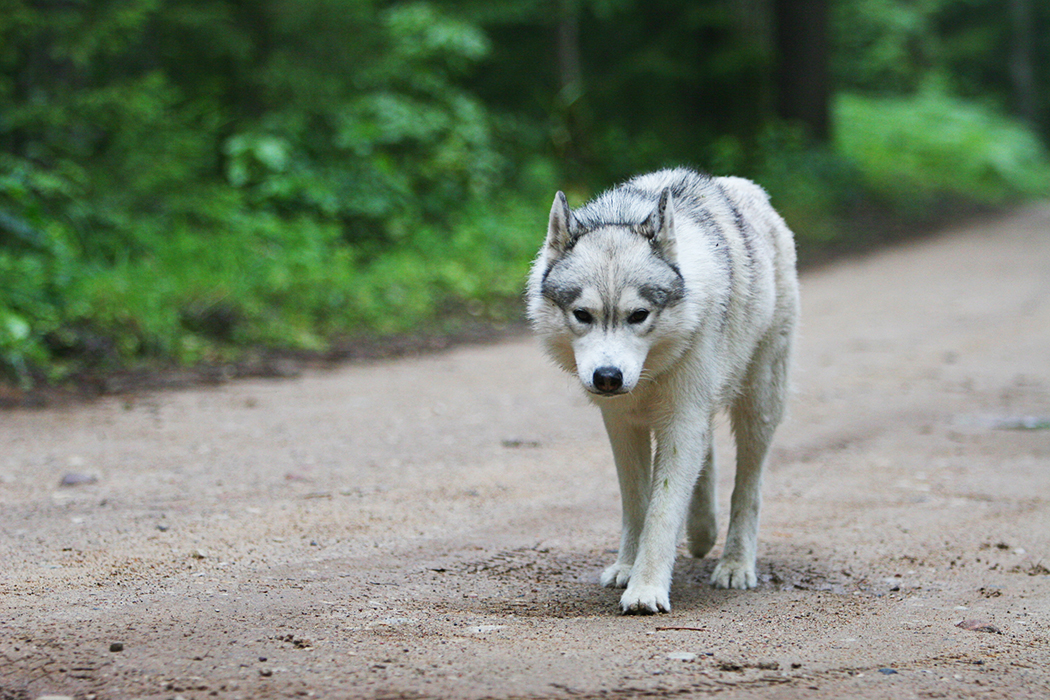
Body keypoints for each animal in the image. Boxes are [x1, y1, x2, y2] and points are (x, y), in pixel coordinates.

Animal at [529, 167, 797, 612]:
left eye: (639, 315)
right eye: (582, 315)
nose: (608, 377)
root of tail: (748, 189)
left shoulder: (682, 420)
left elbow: (663, 510)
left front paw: (646, 589)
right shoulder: (623, 424)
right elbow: (637, 504)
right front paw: (626, 567)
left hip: (758, 407)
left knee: (748, 487)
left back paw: (735, 564)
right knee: (708, 459)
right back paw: (702, 533)